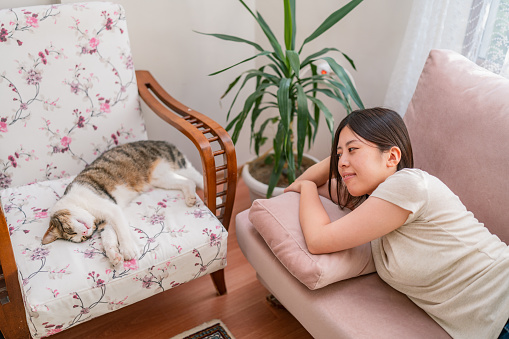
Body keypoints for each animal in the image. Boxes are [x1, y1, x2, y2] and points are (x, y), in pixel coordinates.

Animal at [41, 139, 203, 266]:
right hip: (161, 178)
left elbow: (122, 231)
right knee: (187, 182)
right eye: (82, 238)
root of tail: (161, 141)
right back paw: (190, 197)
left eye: (70, 231)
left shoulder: (111, 208)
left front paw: (127, 250)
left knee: (197, 177)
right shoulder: (105, 223)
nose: (86, 232)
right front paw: (113, 255)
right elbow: (108, 237)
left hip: (179, 164)